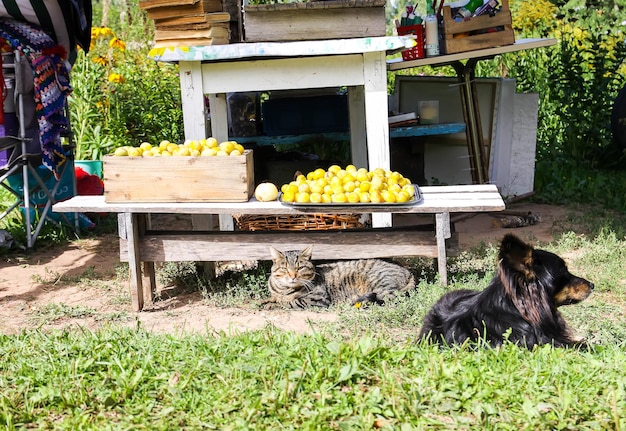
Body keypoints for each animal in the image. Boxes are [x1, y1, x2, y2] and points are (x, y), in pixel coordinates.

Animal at [264, 245, 414, 308]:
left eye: (299, 268)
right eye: (285, 268)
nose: (292, 276)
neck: (283, 289)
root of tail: (408, 271)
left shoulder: (318, 299)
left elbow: (291, 302)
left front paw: (273, 304)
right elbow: (273, 298)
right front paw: (266, 301)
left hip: (380, 284)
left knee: (391, 299)